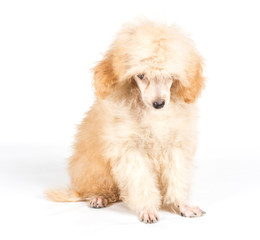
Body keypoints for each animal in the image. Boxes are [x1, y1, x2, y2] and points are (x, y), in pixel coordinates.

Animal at [46, 20, 205, 223]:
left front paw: (181, 205)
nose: (159, 104)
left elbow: (177, 178)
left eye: (169, 76)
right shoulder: (130, 151)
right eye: (141, 76)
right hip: (96, 170)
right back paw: (99, 197)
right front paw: (147, 209)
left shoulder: (175, 147)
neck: (150, 113)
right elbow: (140, 182)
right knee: (98, 190)